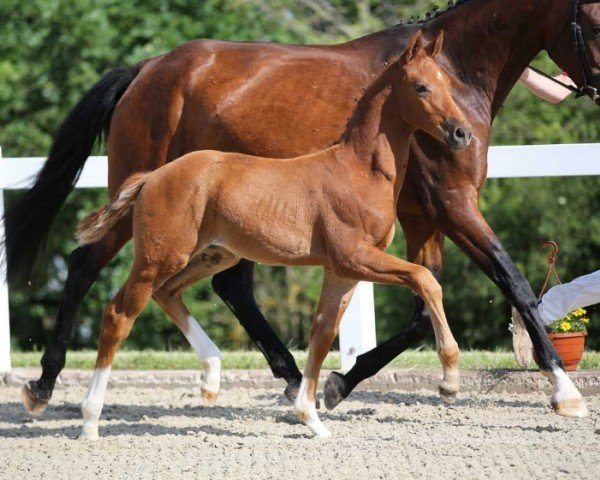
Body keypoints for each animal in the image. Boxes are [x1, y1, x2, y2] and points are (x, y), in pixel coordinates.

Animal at [74, 31, 468, 440]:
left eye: (448, 83)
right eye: (421, 87)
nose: (461, 133)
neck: (359, 170)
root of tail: (152, 176)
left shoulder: (341, 271)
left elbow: (321, 335)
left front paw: (312, 418)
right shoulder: (354, 257)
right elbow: (425, 279)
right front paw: (450, 379)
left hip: (215, 254)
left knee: (167, 293)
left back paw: (211, 377)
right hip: (160, 256)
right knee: (119, 314)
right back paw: (89, 420)